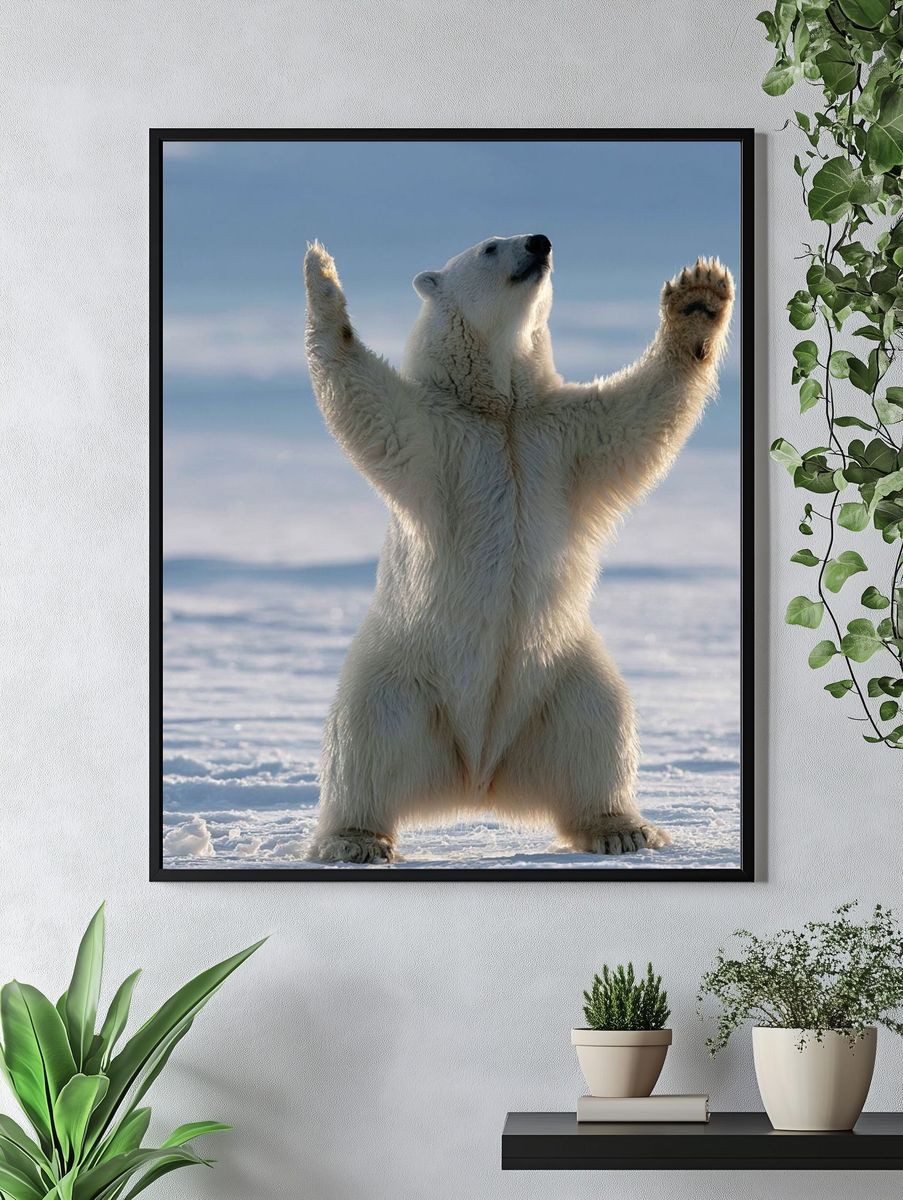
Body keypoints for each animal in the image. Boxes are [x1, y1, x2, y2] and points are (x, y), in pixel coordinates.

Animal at [303, 233, 733, 863]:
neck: (500, 410)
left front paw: (699, 299)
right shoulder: (442, 437)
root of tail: (479, 775)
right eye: (489, 247)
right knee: (368, 741)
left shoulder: (559, 439)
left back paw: (621, 828)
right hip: (401, 671)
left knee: (598, 730)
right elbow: (366, 400)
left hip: (563, 676)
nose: (540, 241)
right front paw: (323, 279)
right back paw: (354, 839)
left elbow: (639, 416)